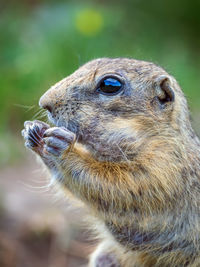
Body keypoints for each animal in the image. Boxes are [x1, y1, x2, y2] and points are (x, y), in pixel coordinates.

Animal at [21, 58, 200, 267]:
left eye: (110, 85)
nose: (44, 102)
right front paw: (34, 132)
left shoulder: (163, 169)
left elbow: (112, 186)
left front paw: (63, 148)